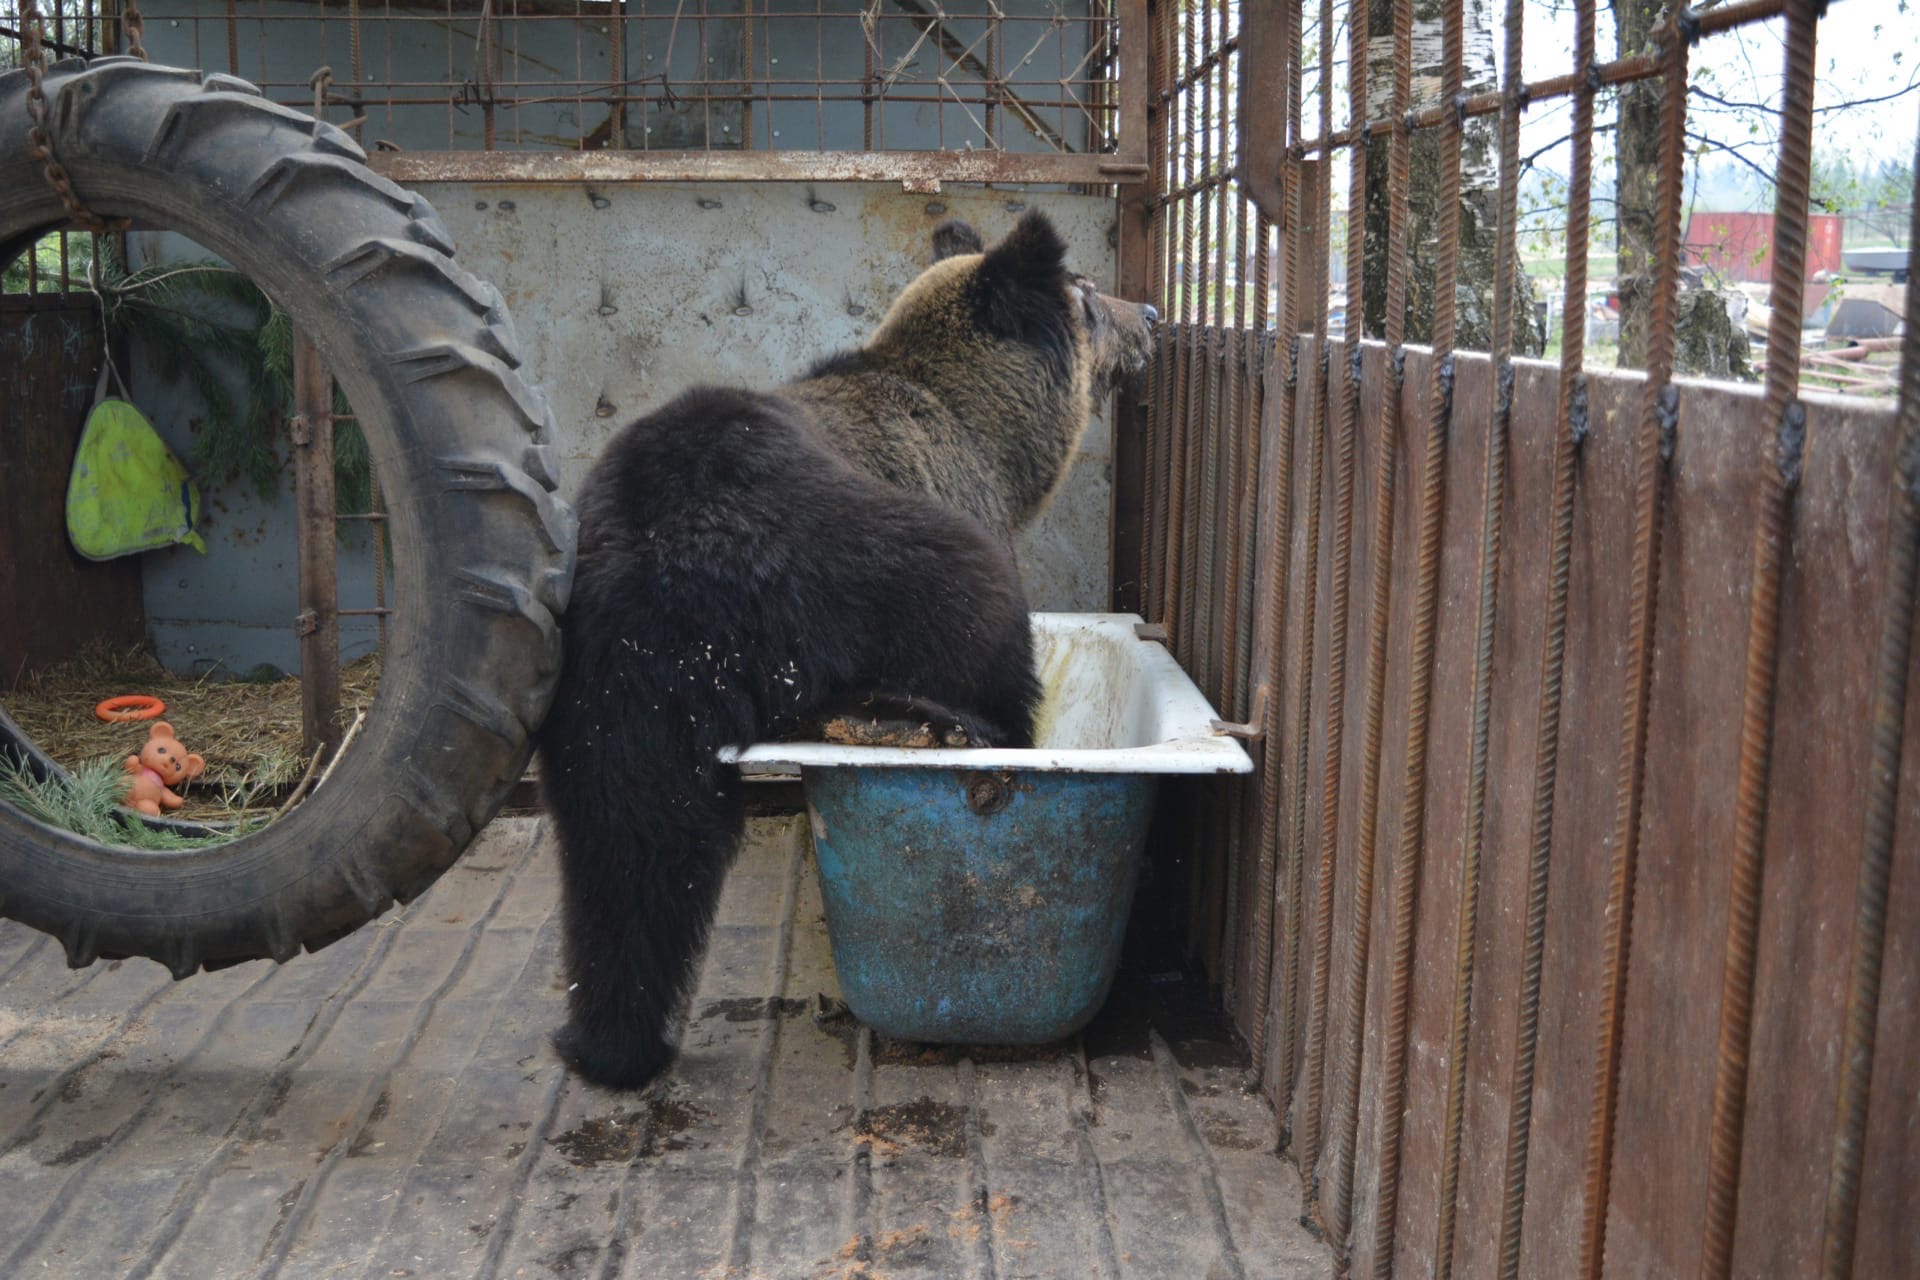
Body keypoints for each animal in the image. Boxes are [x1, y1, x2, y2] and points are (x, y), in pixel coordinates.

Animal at [529, 210, 1152, 1090]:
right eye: (1091, 296)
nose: (1153, 315)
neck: (988, 433)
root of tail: (679, 557)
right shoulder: (954, 490)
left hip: (605, 677)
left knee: (628, 844)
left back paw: (609, 1042)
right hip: (862, 555)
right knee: (974, 621)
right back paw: (934, 724)